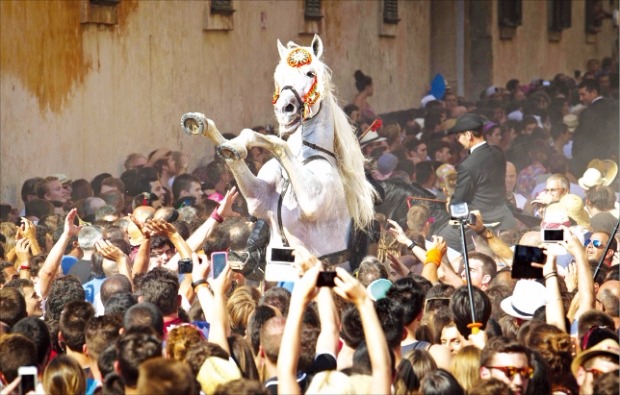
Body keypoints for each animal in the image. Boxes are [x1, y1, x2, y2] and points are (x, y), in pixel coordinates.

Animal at [182, 34, 376, 270]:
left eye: (311, 73)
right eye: (279, 76)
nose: (284, 110)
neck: (302, 161)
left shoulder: (312, 201)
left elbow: (278, 143)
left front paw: (238, 145)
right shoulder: (258, 199)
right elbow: (248, 139)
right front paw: (208, 130)